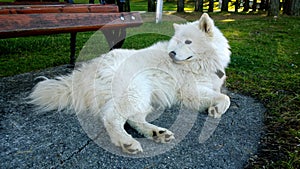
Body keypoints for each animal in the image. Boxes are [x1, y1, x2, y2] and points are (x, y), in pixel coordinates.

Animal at [29, 13, 231, 153]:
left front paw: (214, 107)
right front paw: (217, 109)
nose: (171, 53)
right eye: (176, 43)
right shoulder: (190, 91)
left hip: (143, 97)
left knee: (134, 119)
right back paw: (126, 142)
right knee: (112, 117)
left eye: (188, 42)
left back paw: (157, 133)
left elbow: (220, 94)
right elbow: (225, 98)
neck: (201, 64)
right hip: (135, 92)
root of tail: (90, 68)